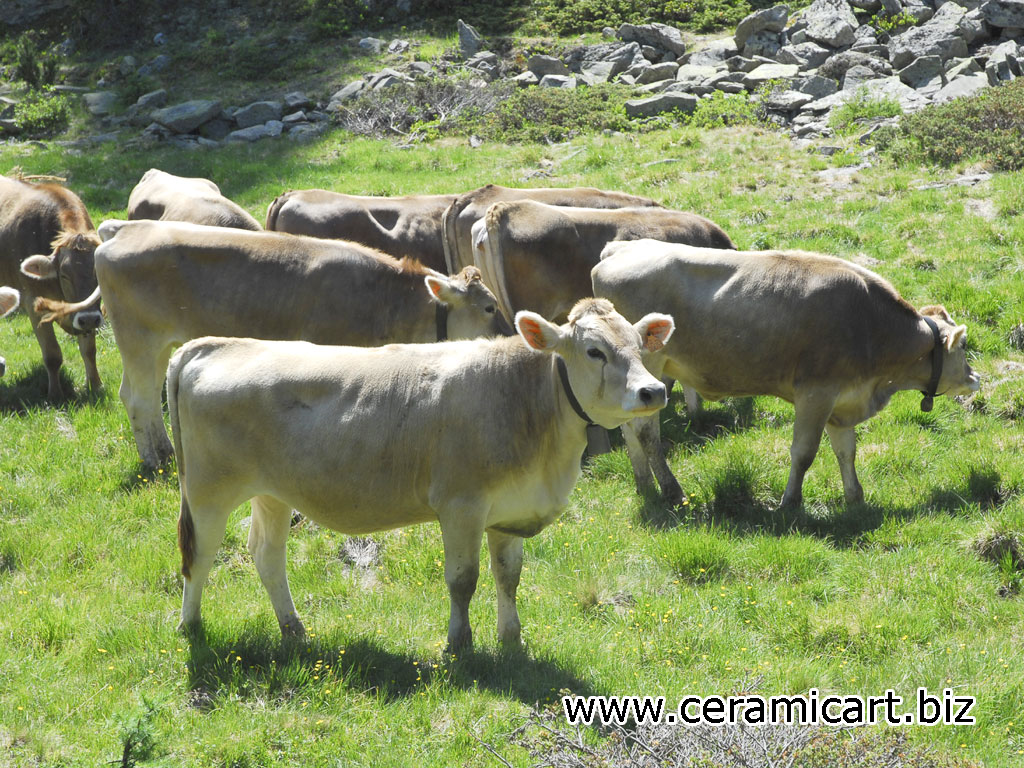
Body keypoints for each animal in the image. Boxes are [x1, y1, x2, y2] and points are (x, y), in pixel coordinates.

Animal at [0, 176, 102, 400]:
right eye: (64, 274)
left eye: (99, 272)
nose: (90, 318)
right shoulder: (33, 303)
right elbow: (53, 355)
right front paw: (55, 395)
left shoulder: (84, 314)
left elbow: (89, 350)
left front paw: (95, 386)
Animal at [35, 221, 513, 468]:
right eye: (489, 307)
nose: (512, 336)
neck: (380, 297)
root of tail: (122, 229)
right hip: (138, 339)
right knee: (137, 398)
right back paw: (155, 461)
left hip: (156, 344)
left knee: (145, 397)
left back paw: (165, 452)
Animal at [168, 298, 675, 650]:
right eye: (594, 351)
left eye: (638, 346)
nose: (652, 391)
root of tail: (211, 344)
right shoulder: (461, 506)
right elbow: (463, 579)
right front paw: (459, 643)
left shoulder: (510, 509)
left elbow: (508, 576)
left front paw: (512, 639)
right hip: (208, 492)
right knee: (201, 556)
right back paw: (191, 625)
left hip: (272, 493)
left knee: (267, 554)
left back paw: (294, 629)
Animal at [592, 240, 981, 509]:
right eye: (963, 346)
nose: (975, 377)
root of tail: (619, 248)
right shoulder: (816, 393)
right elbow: (804, 452)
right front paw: (790, 502)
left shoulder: (842, 398)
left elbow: (846, 450)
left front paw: (855, 497)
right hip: (652, 366)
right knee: (646, 432)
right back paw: (673, 491)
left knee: (631, 428)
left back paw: (644, 484)